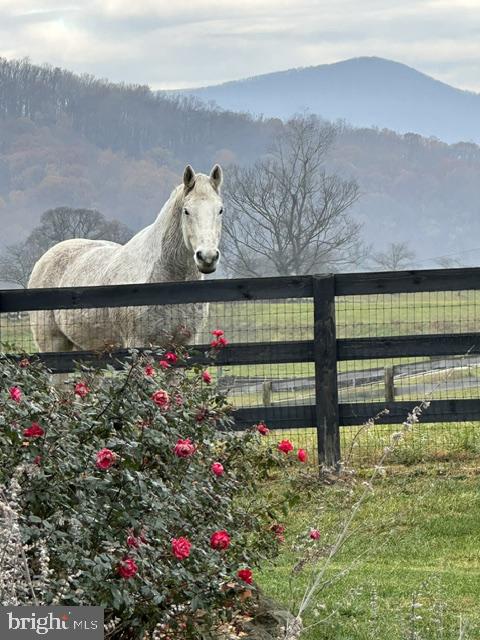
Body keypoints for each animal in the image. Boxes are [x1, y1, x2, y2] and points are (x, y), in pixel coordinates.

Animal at [28, 165, 224, 353]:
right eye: (186, 211)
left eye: (220, 210)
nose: (207, 257)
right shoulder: (138, 342)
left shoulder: (185, 342)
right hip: (54, 343)